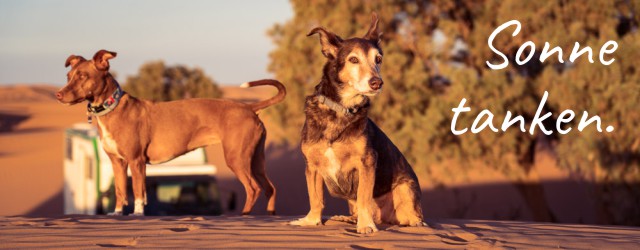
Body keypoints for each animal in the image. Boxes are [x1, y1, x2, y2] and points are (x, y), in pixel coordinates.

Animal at [55, 49, 284, 216]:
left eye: (83, 76)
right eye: (68, 76)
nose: (58, 95)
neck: (113, 107)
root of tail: (249, 107)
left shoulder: (136, 161)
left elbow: (138, 192)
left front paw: (137, 215)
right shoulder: (117, 162)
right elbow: (120, 191)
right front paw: (117, 213)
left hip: (236, 158)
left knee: (253, 189)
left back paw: (244, 216)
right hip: (256, 160)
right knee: (270, 189)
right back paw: (270, 215)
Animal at [290, 13, 424, 232]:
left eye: (378, 59)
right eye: (353, 59)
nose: (377, 83)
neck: (340, 109)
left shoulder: (366, 162)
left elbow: (364, 198)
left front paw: (366, 225)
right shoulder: (312, 165)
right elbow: (316, 198)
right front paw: (311, 221)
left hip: (405, 189)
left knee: (413, 217)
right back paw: (346, 219)